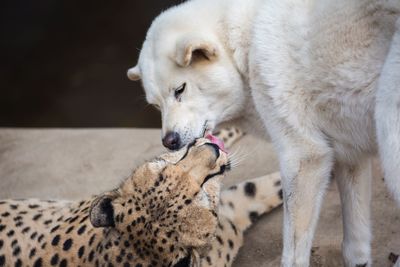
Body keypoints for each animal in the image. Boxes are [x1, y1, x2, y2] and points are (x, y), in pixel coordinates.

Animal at [126, 1, 398, 266]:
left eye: (180, 89)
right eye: (156, 105)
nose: (169, 141)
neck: (244, 46)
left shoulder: (304, 157)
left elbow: (293, 254)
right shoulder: (351, 155)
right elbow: (355, 246)